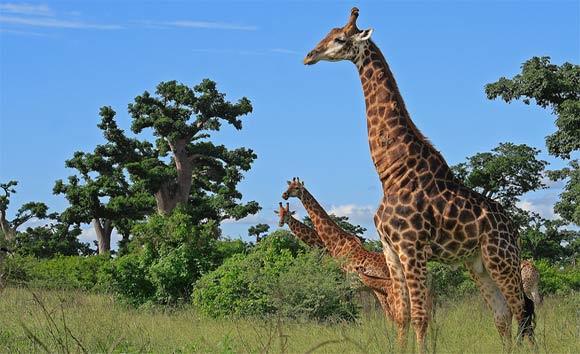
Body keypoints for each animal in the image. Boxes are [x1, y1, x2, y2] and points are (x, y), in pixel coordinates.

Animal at [278, 181, 410, 348]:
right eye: (288, 186)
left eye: (295, 188)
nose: (284, 195)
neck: (334, 243)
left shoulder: (342, 283)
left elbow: (345, 309)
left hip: (384, 290)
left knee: (392, 315)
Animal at [304, 6, 536, 350]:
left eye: (340, 39)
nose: (309, 55)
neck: (390, 172)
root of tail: (514, 228)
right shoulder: (391, 252)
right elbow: (402, 316)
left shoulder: (411, 247)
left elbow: (420, 317)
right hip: (478, 264)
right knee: (503, 315)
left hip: (501, 258)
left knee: (524, 309)